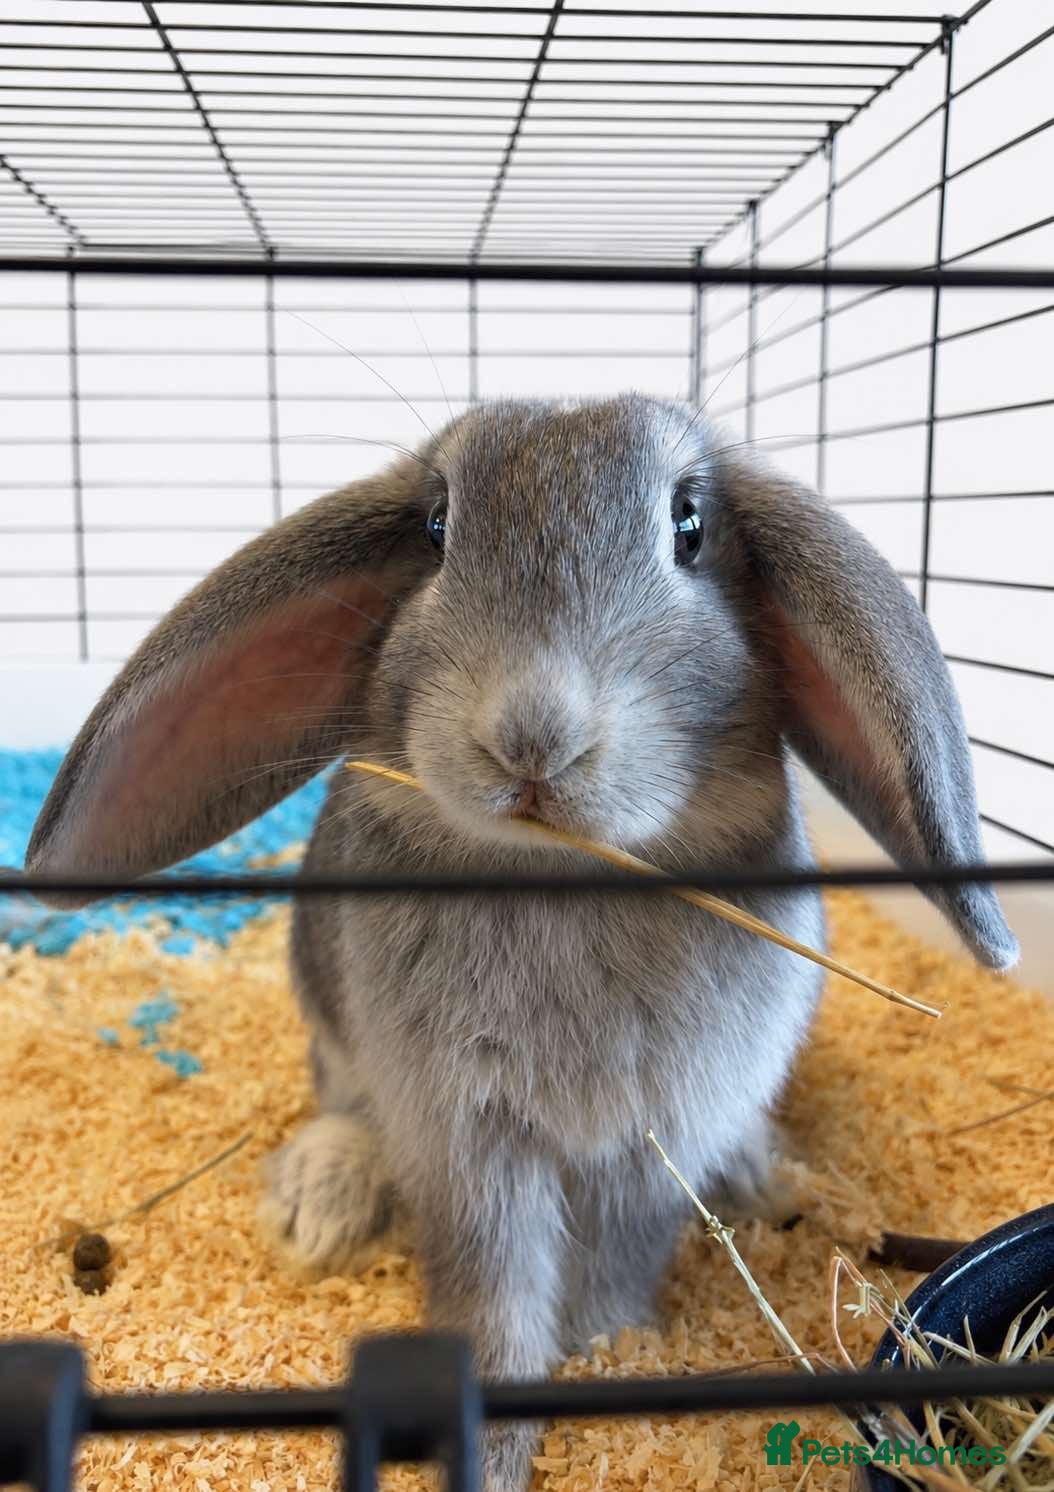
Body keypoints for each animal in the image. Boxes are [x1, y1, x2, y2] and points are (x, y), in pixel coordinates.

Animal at [27, 394, 1017, 1491]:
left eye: (689, 528)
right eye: (435, 530)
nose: (532, 739)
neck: (558, 879)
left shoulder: (657, 1133)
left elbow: (617, 1253)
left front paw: (604, 1346)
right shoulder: (467, 1137)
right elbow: (492, 1283)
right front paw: (498, 1441)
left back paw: (768, 1176)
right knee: (341, 1103)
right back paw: (320, 1205)